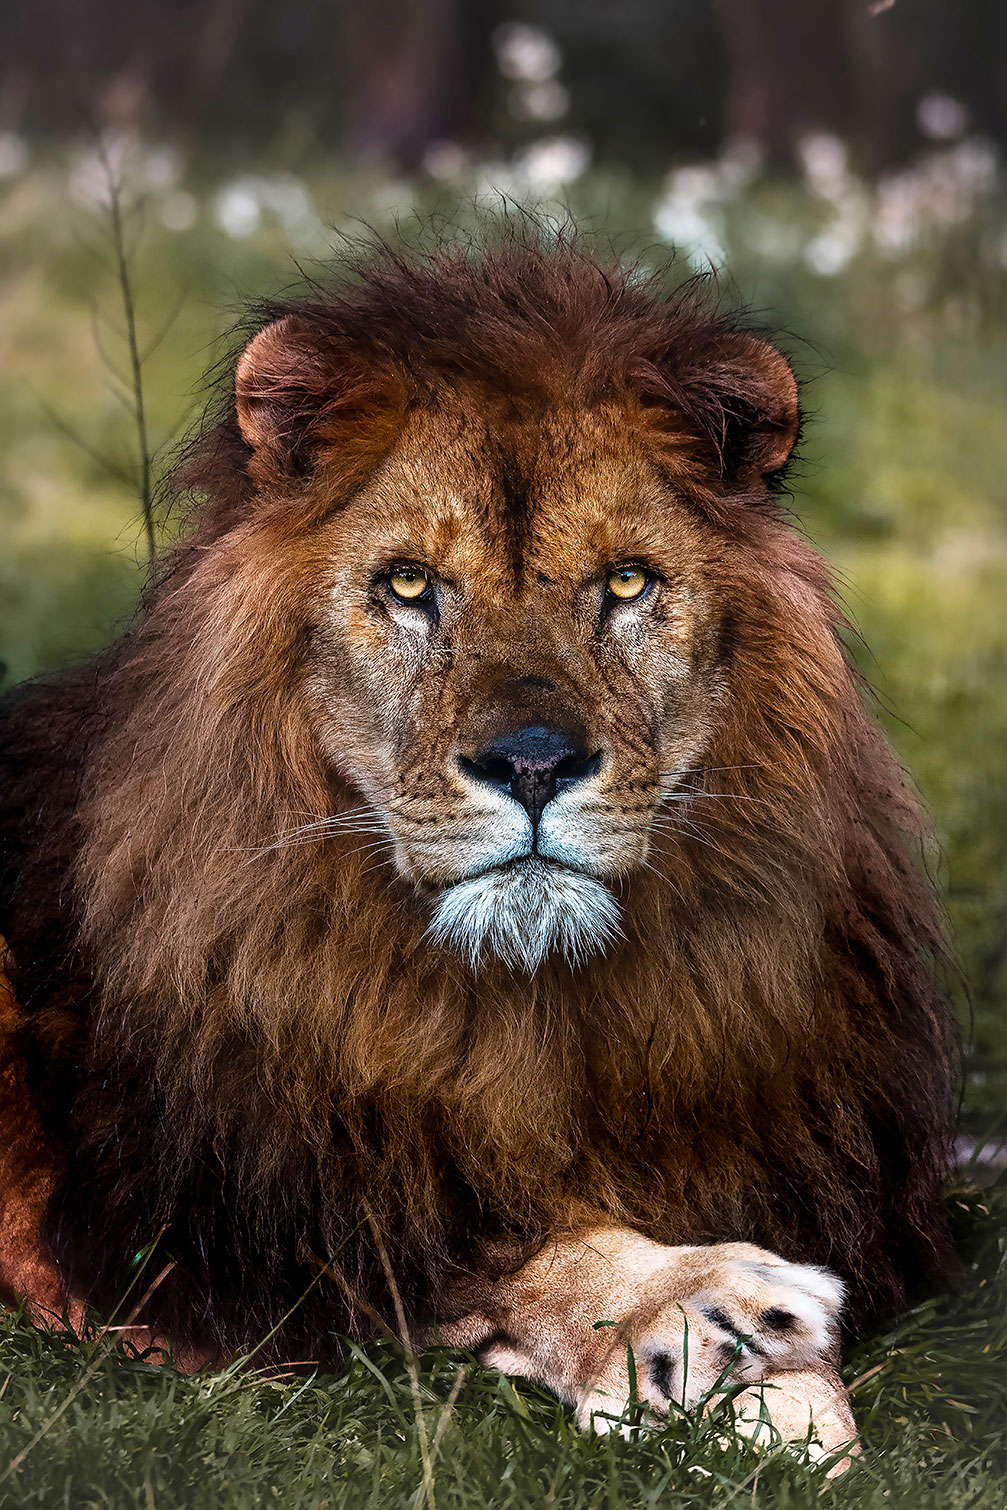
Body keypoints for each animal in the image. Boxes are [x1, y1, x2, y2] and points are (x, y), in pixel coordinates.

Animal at [0, 232, 960, 1449]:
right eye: (410, 584)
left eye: (626, 581)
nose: (534, 763)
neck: (528, 1004)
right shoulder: (198, 1226)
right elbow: (494, 1248)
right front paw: (701, 1316)